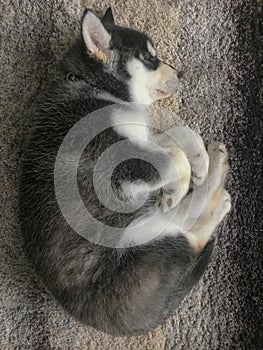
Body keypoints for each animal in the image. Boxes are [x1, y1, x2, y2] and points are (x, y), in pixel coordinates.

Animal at [19, 8, 232, 334]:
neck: (98, 90)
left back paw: (215, 170)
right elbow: (172, 159)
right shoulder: (112, 159)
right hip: (138, 241)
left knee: (190, 229)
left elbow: (179, 135)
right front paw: (178, 185)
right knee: (190, 229)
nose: (181, 74)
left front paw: (199, 161)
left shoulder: (139, 136)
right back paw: (213, 196)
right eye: (148, 58)